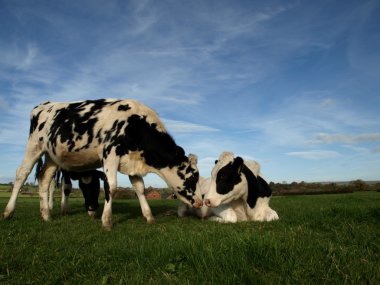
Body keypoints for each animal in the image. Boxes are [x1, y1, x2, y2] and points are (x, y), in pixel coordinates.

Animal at [2, 98, 202, 229]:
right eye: (193, 178)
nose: (200, 202)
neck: (135, 124)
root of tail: (45, 104)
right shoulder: (110, 153)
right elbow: (111, 187)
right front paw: (106, 221)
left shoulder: (132, 162)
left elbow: (140, 188)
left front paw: (149, 217)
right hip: (35, 145)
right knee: (22, 174)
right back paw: (8, 212)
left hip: (53, 156)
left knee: (44, 179)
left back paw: (46, 215)